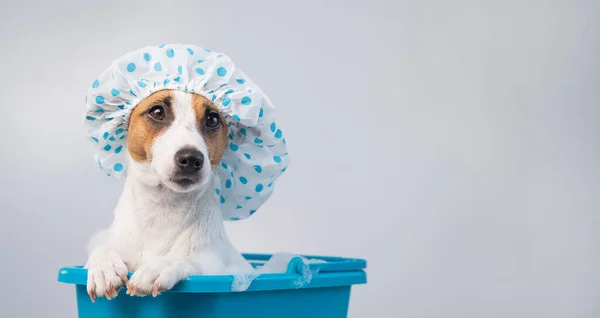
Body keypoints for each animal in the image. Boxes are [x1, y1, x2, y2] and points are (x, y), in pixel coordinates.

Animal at [84, 89, 251, 300]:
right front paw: (104, 268)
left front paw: (161, 266)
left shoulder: (215, 267)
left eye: (212, 119)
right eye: (157, 112)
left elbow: (188, 260)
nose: (191, 159)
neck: (163, 208)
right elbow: (101, 248)